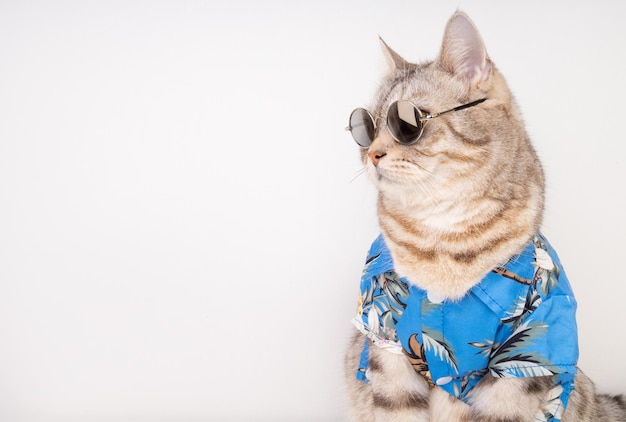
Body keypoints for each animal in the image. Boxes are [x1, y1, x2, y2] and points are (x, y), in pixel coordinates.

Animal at [344, 9, 620, 422]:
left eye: (406, 124)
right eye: (365, 129)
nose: (372, 154)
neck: (441, 237)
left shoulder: (522, 360)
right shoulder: (384, 336)